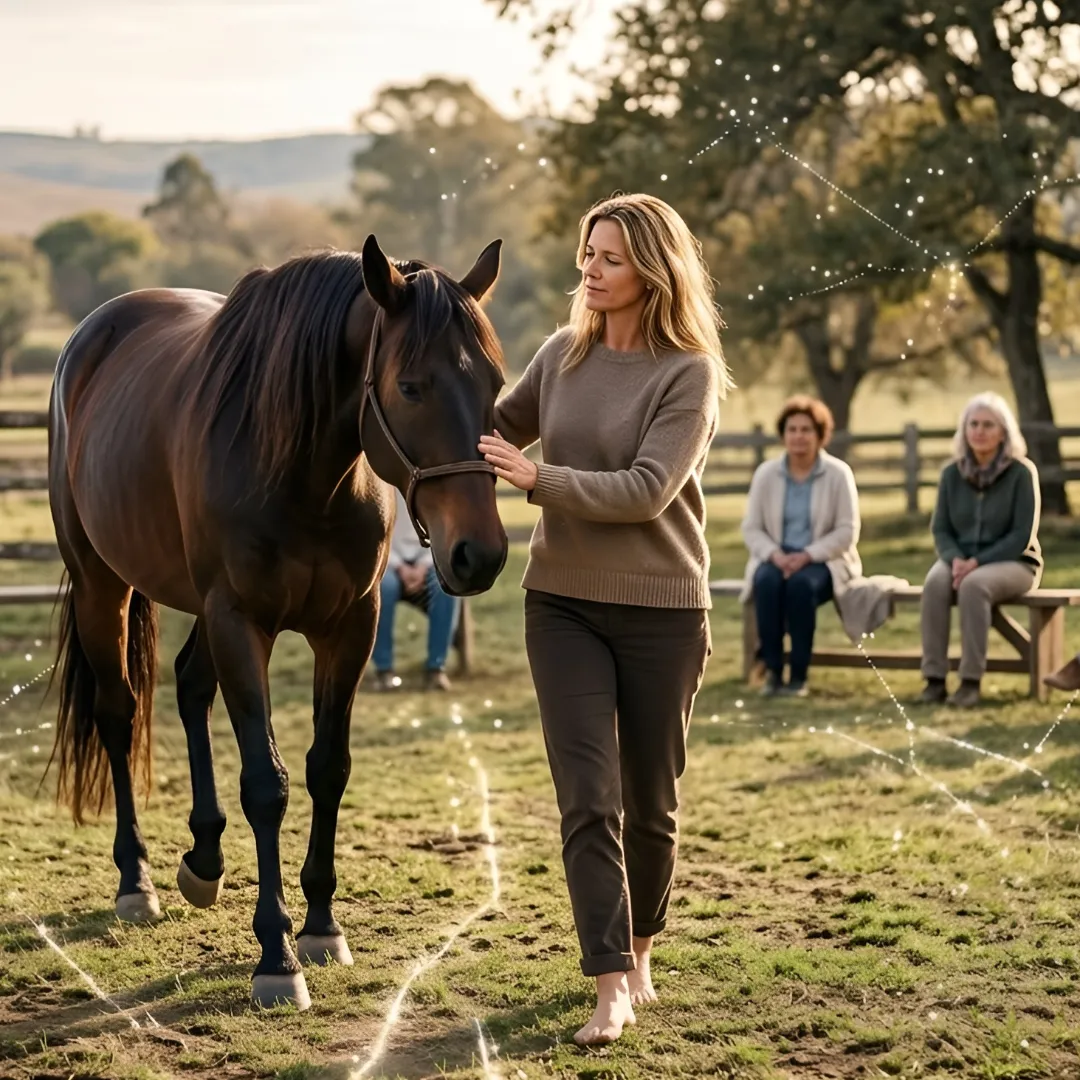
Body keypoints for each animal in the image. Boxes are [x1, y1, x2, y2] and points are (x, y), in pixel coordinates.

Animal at [45, 234, 509, 1009]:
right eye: (411, 386)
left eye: (497, 384)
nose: (481, 553)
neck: (304, 472)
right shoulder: (242, 622)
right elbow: (267, 783)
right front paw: (276, 955)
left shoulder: (348, 627)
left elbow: (328, 769)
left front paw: (321, 926)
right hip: (101, 585)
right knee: (118, 712)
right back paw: (136, 881)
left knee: (189, 686)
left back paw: (203, 859)